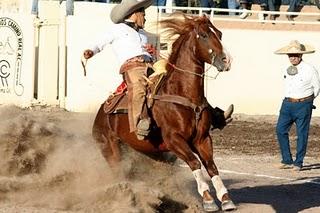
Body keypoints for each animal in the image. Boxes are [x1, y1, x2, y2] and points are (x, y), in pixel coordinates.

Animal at [91, 12, 236, 211]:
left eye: (219, 34)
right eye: (204, 35)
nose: (226, 60)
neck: (183, 94)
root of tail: (100, 114)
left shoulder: (202, 138)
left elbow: (211, 166)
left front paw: (226, 199)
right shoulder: (174, 139)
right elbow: (194, 162)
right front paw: (208, 199)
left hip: (151, 152)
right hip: (110, 149)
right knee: (120, 174)